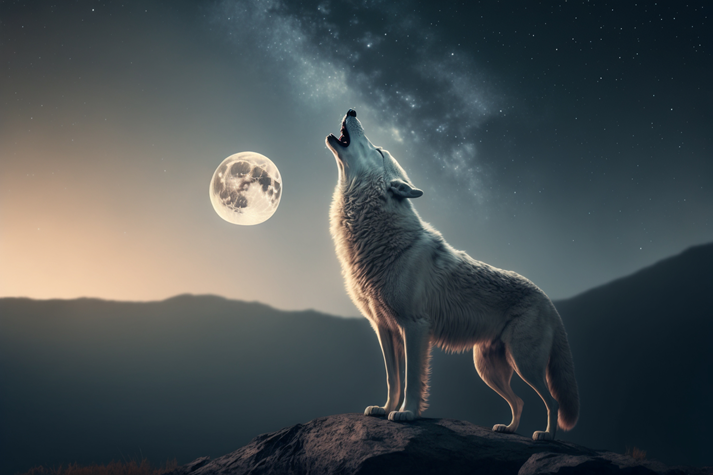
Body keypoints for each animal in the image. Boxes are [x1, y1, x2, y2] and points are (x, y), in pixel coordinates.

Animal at [325, 109, 579, 440]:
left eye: (378, 150)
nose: (352, 111)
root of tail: (547, 299)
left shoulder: (415, 327)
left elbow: (412, 379)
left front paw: (407, 413)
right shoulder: (384, 328)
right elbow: (393, 379)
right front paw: (384, 409)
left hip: (525, 364)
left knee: (552, 401)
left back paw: (546, 435)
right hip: (487, 368)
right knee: (520, 401)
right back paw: (508, 429)